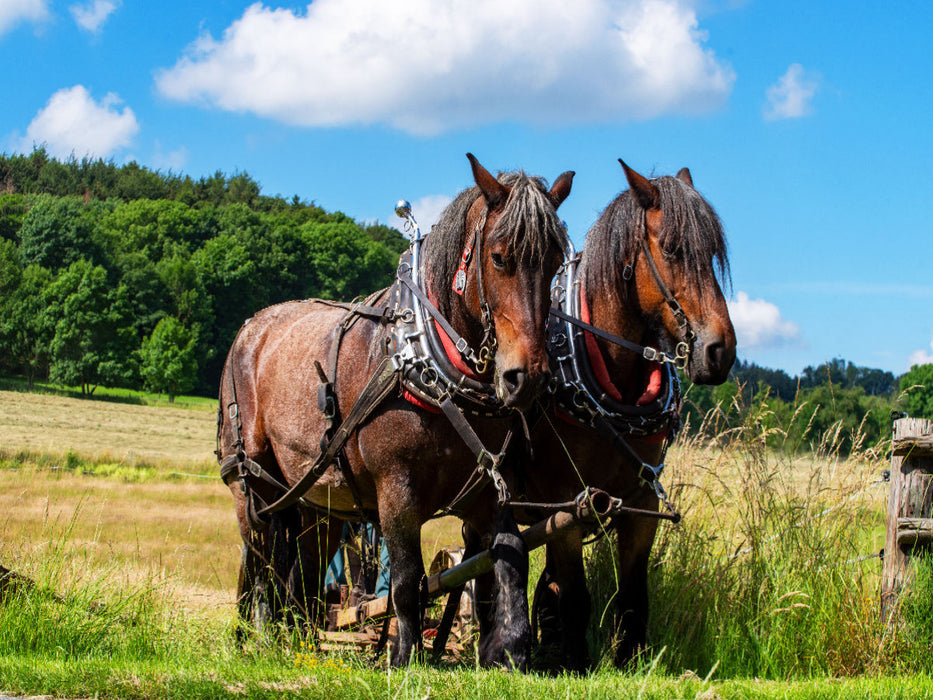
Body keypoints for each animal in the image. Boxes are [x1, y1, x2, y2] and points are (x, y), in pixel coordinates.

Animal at [216, 154, 574, 668]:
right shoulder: (396, 490)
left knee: (305, 566)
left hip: (317, 499)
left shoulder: (484, 487)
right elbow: (408, 580)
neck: (427, 358)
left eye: (554, 265)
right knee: (260, 555)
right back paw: (258, 633)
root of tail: (250, 329)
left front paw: (509, 649)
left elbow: (511, 556)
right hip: (251, 480)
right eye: (500, 257)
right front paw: (403, 656)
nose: (528, 378)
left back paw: (298, 638)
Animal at [522, 160, 735, 671]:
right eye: (673, 249)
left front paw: (631, 660)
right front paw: (575, 661)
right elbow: (576, 594)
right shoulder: (565, 503)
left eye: (713, 253)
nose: (719, 351)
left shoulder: (642, 501)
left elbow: (634, 595)